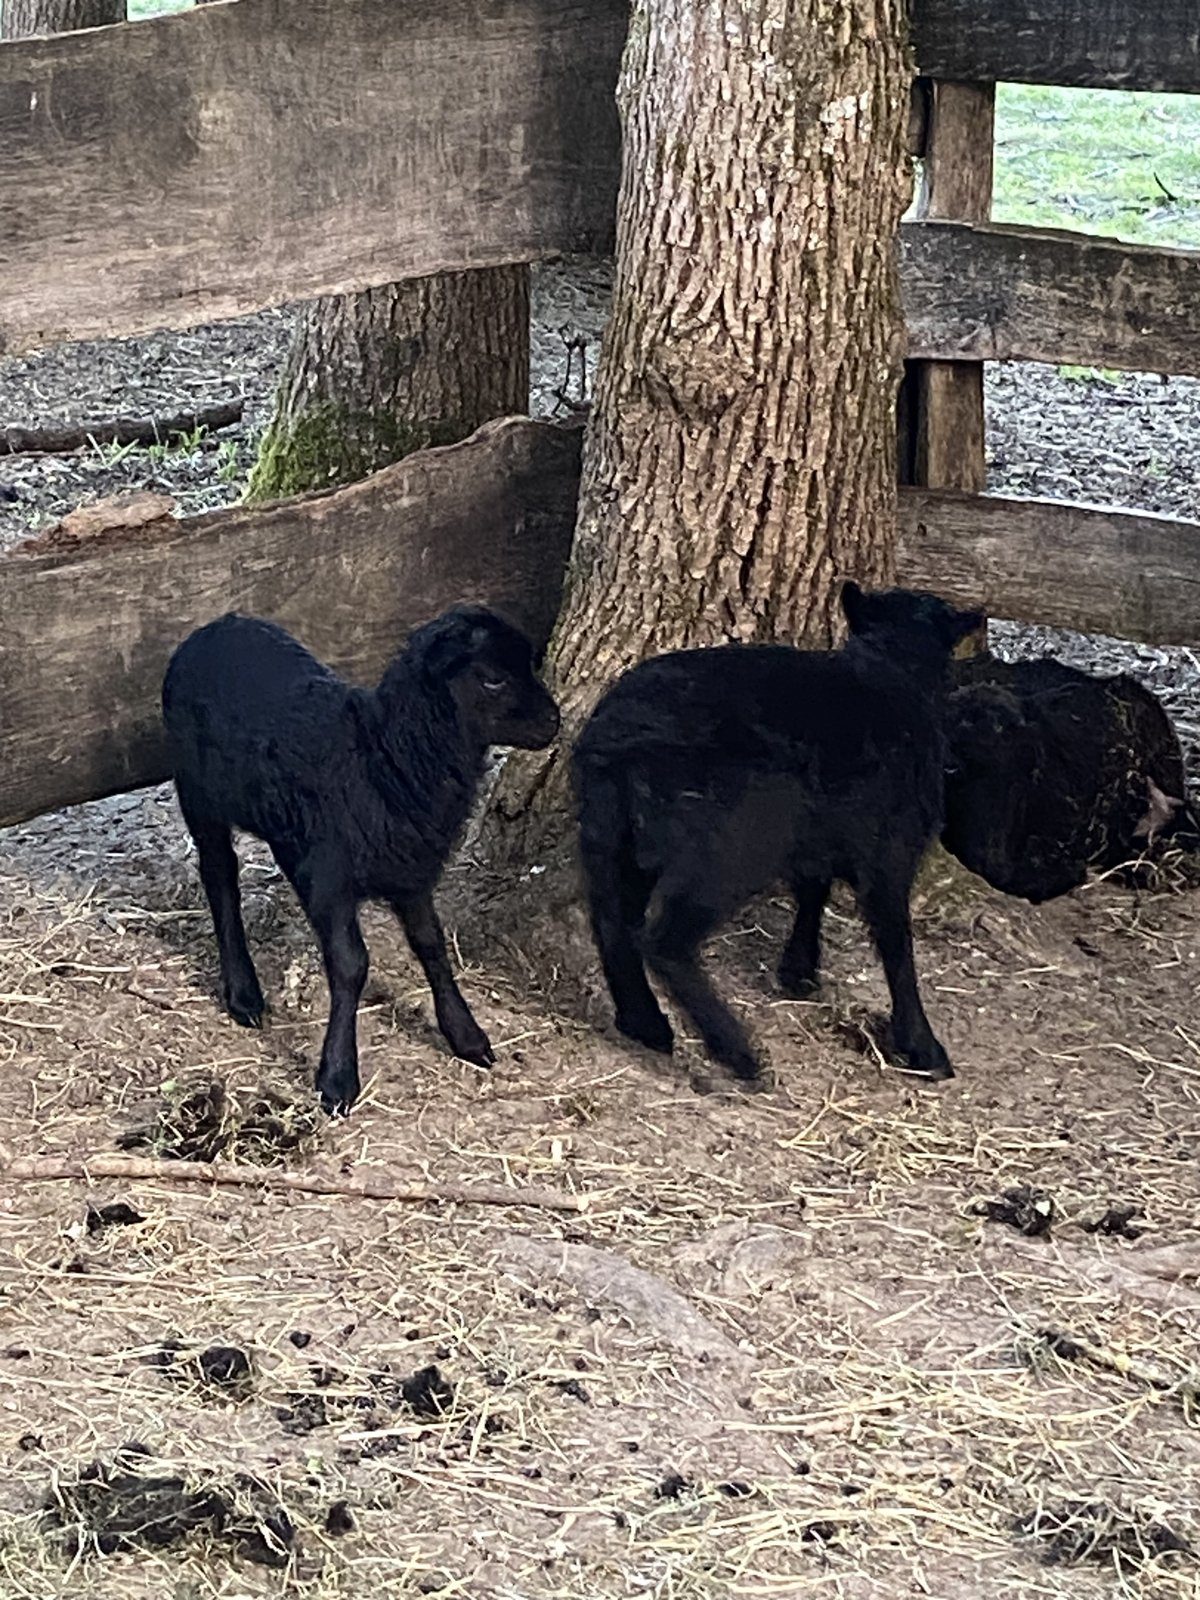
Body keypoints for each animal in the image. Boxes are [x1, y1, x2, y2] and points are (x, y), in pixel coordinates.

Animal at [162, 605, 560, 1113]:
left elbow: (431, 945)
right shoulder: (329, 878)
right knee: (220, 876)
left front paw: (466, 1035)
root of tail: (214, 627)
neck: (383, 757)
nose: (554, 720)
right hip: (198, 792)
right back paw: (244, 994)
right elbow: (351, 964)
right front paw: (337, 1077)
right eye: (492, 679)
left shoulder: (411, 871)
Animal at [572, 583, 983, 1086]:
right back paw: (737, 1050)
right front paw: (923, 1045)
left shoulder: (820, 836)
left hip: (609, 832)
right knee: (665, 939)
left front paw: (798, 970)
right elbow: (896, 945)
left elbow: (813, 889)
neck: (891, 669)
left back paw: (645, 1023)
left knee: (613, 922)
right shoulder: (890, 851)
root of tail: (617, 735)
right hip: (736, 843)